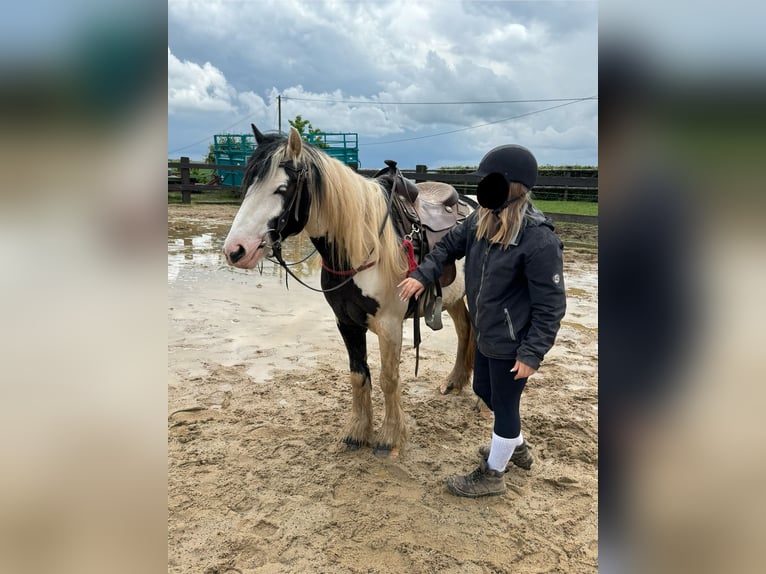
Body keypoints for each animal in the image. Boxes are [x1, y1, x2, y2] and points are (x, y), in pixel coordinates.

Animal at [222, 126, 474, 460]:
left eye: (281, 188)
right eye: (247, 186)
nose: (235, 250)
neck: (364, 247)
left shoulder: (390, 326)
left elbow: (388, 379)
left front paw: (389, 438)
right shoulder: (347, 323)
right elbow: (359, 376)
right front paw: (357, 433)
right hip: (455, 297)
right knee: (464, 330)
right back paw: (455, 382)